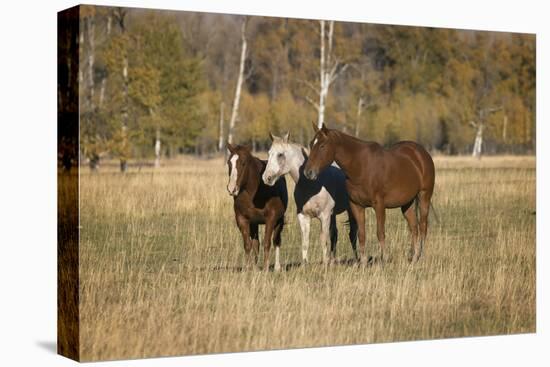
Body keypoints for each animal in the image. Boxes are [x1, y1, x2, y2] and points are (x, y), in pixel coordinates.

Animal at [227, 144, 292, 274]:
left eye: (243, 163)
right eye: (228, 163)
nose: (232, 189)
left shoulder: (271, 219)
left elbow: (267, 243)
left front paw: (266, 269)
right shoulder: (243, 220)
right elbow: (248, 245)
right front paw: (248, 269)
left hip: (279, 221)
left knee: (276, 240)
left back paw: (277, 267)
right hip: (254, 223)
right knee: (256, 243)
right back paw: (255, 267)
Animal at [264, 132, 360, 264]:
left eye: (280, 154)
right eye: (269, 153)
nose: (266, 178)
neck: (312, 185)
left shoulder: (324, 216)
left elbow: (323, 240)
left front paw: (325, 264)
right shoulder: (303, 216)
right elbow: (305, 242)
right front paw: (306, 264)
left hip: (350, 210)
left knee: (353, 234)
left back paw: (356, 261)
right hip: (333, 215)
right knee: (334, 235)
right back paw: (333, 261)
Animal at [306, 123, 436, 264]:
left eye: (322, 146)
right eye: (311, 144)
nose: (308, 172)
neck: (361, 167)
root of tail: (422, 154)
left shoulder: (379, 205)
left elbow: (380, 233)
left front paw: (384, 260)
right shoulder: (356, 206)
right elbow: (361, 234)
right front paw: (363, 263)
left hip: (424, 196)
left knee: (423, 227)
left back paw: (421, 257)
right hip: (407, 203)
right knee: (414, 227)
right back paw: (414, 258)